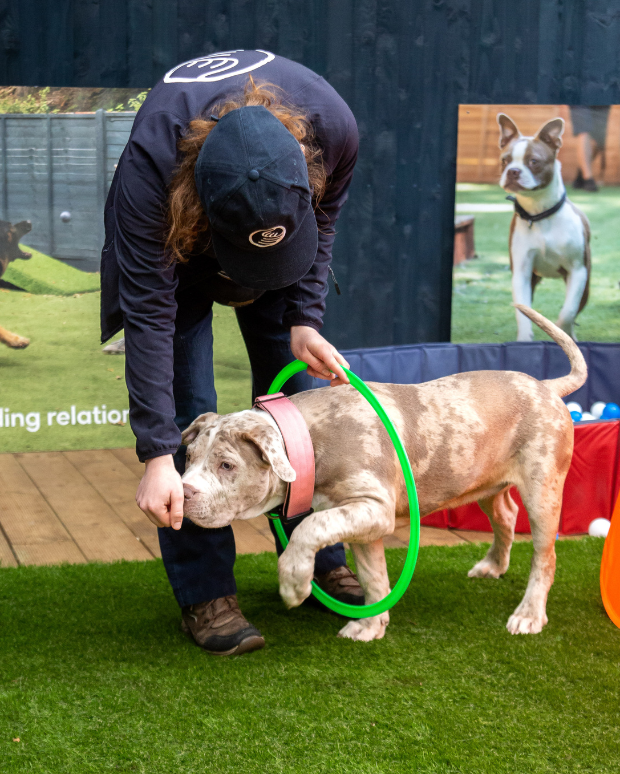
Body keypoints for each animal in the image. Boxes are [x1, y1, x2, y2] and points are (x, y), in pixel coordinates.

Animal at [178, 308, 588, 644]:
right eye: (189, 458)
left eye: (227, 465)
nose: (182, 492)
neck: (310, 436)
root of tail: (547, 387)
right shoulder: (359, 519)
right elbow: (373, 576)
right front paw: (370, 626)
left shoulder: (372, 508)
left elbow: (310, 528)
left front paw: (294, 582)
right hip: (486, 483)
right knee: (505, 515)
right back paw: (493, 566)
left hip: (543, 490)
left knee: (544, 556)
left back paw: (529, 615)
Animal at [494, 115, 592, 342]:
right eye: (505, 160)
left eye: (534, 161)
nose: (513, 171)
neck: (539, 214)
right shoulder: (521, 273)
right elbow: (524, 311)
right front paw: (524, 340)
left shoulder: (578, 271)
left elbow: (568, 311)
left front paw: (562, 332)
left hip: (586, 285)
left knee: (575, 309)